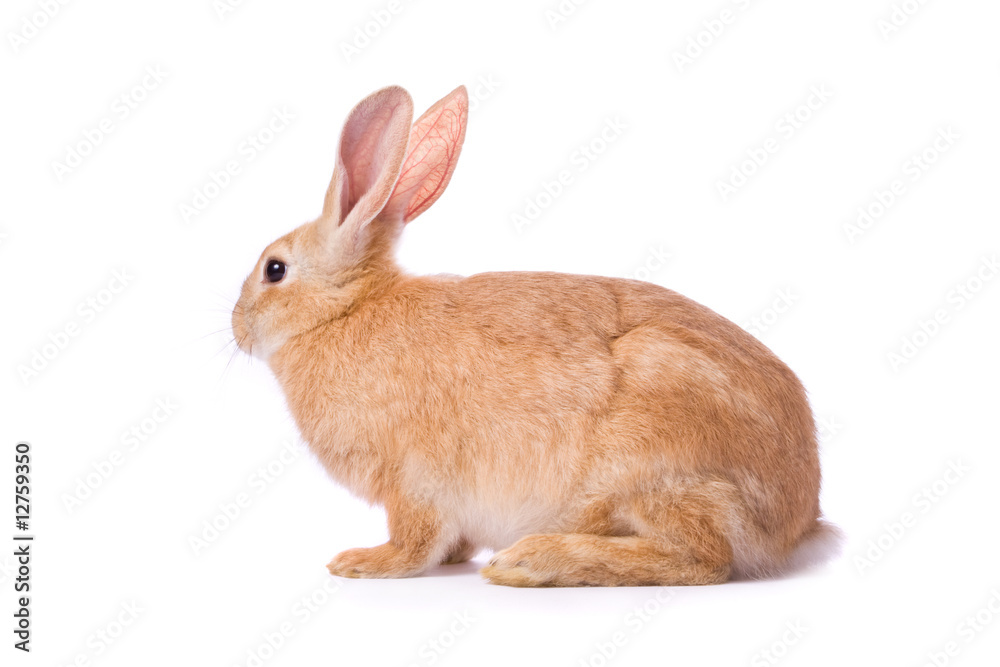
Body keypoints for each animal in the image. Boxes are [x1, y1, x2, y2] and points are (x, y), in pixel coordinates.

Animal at [232, 84, 838, 587]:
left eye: (274, 270)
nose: (237, 329)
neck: (344, 313)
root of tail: (798, 519)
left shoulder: (414, 482)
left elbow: (414, 541)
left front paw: (361, 563)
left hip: (654, 466)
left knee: (701, 560)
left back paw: (528, 562)